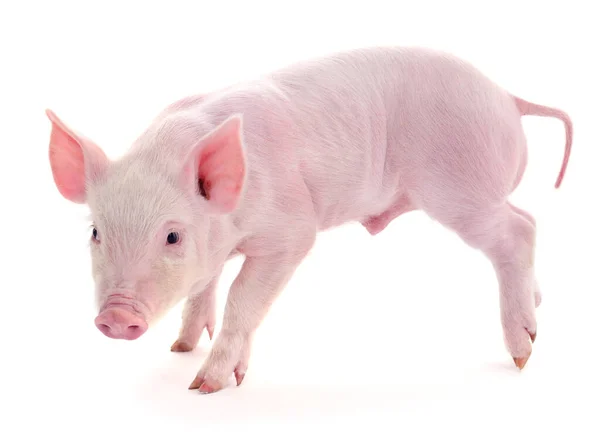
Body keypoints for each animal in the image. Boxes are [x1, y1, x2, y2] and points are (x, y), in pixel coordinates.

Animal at [45, 46, 572, 394]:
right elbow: (205, 289)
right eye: (96, 232)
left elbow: (242, 298)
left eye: (172, 235)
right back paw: (537, 306)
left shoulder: (292, 231)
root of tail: (507, 97)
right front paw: (181, 349)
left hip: (460, 186)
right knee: (527, 218)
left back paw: (522, 355)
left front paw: (205, 386)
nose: (116, 316)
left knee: (518, 231)